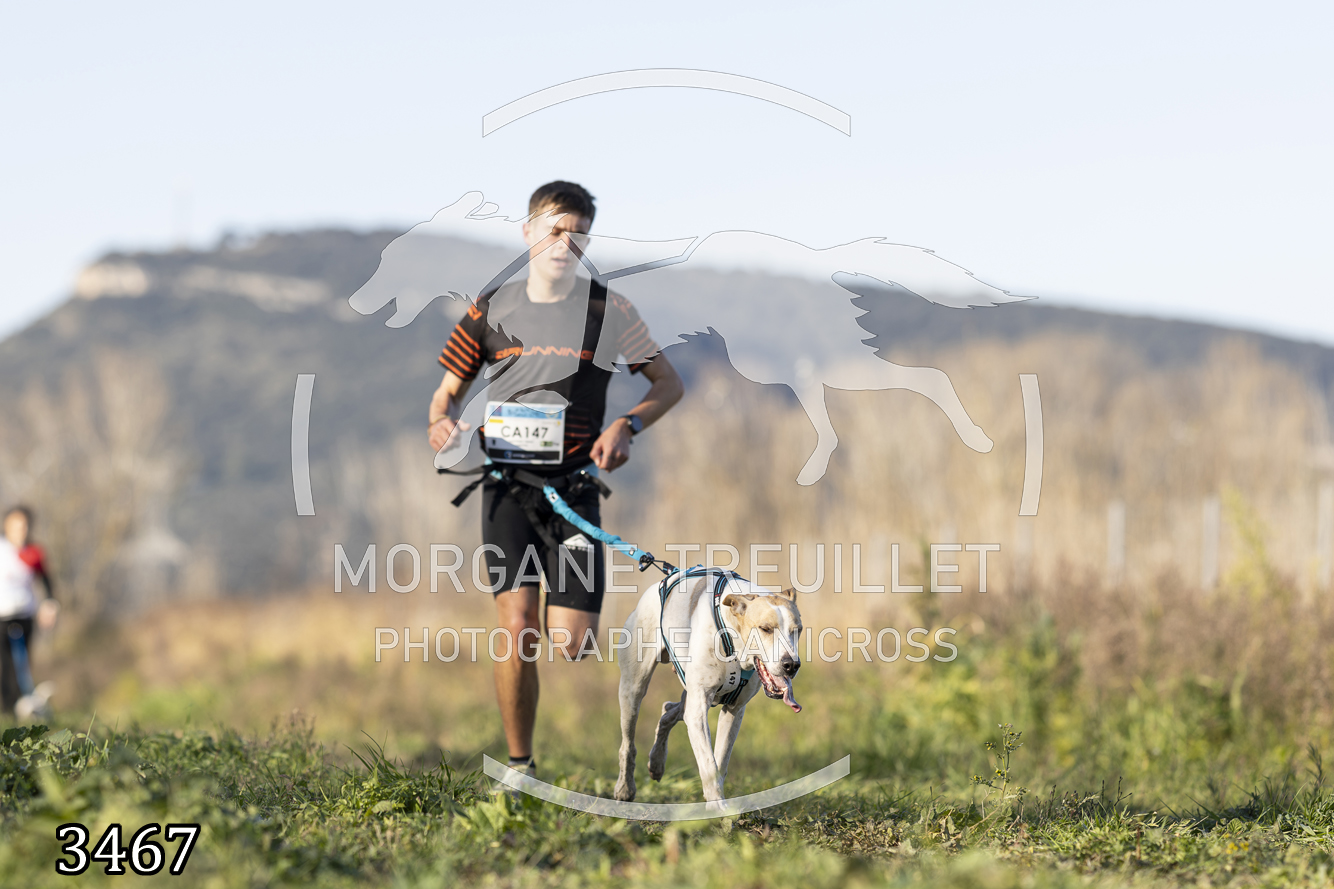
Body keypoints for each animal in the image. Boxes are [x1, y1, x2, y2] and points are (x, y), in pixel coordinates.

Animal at [613, 568, 803, 805]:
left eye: (798, 630)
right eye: (766, 628)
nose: (791, 665)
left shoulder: (734, 710)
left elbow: (720, 762)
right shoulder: (698, 711)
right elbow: (709, 765)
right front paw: (717, 809)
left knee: (668, 711)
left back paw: (656, 763)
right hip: (634, 689)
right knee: (628, 744)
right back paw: (625, 788)